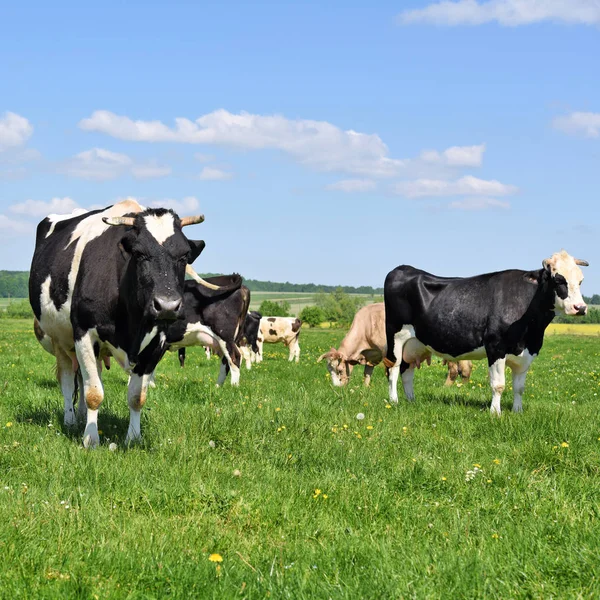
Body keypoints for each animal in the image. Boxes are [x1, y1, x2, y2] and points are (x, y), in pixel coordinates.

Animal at [316, 302, 472, 386]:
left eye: (340, 370)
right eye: (329, 370)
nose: (337, 388)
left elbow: (388, 372)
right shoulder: (372, 355)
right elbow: (367, 372)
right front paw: (365, 388)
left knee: (454, 369)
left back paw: (445, 387)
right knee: (466, 367)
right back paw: (461, 387)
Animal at [382, 251, 588, 414]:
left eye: (580, 281)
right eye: (558, 279)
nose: (581, 307)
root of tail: (403, 268)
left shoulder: (528, 353)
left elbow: (519, 387)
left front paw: (517, 411)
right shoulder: (496, 347)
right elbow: (498, 385)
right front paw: (495, 412)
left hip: (414, 343)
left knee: (406, 370)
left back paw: (411, 400)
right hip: (395, 336)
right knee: (393, 368)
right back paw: (394, 401)